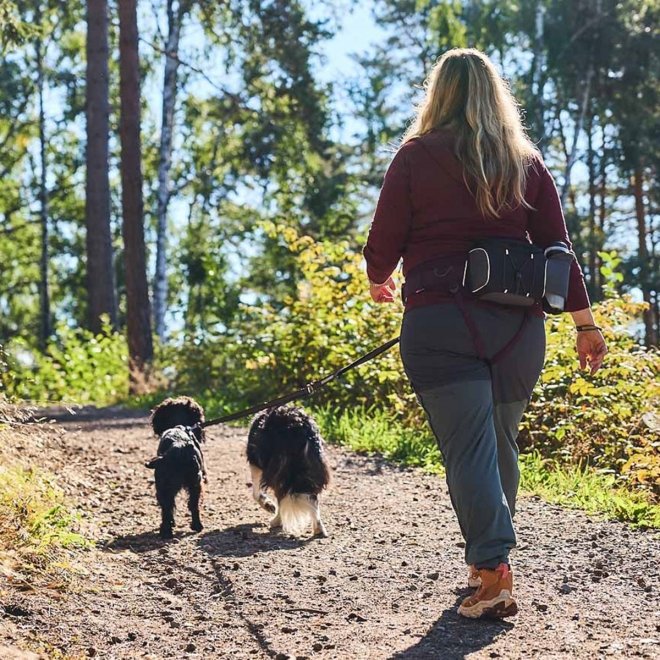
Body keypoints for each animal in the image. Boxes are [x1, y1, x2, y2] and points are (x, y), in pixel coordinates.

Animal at [146, 394, 206, 540]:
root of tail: (179, 448)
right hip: (195, 483)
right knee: (193, 505)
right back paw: (197, 526)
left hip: (163, 484)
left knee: (167, 507)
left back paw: (165, 530)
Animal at [246, 404, 332, 540]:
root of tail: (298, 427)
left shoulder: (256, 462)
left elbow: (256, 493)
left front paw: (268, 505)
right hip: (312, 468)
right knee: (312, 498)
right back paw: (319, 530)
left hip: (278, 468)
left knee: (281, 496)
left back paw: (276, 521)